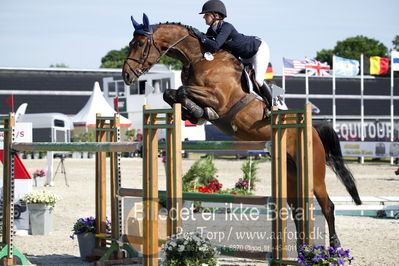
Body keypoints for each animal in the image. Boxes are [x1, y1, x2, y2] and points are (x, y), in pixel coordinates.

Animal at [122, 14, 362, 247]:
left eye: (140, 44)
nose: (127, 76)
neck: (199, 58)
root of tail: (313, 130)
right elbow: (171, 93)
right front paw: (195, 113)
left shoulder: (219, 98)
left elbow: (182, 91)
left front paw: (202, 112)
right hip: (291, 173)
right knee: (298, 210)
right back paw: (302, 248)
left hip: (314, 173)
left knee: (328, 206)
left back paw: (334, 246)